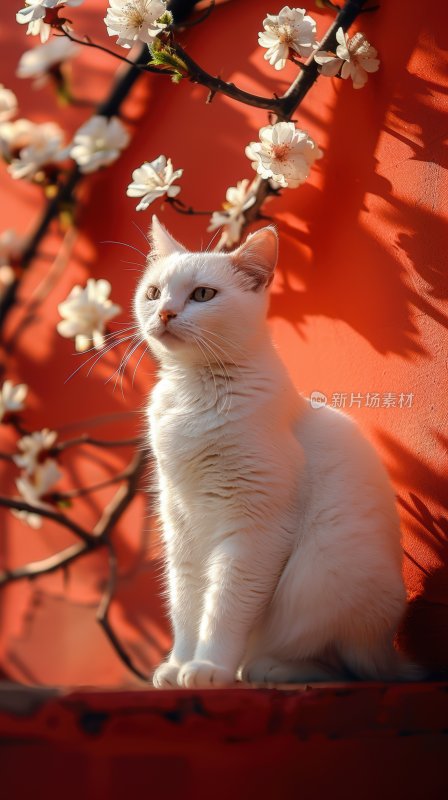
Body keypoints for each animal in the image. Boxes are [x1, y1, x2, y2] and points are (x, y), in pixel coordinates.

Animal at [134, 217, 412, 688]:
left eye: (203, 295)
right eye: (153, 293)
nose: (165, 312)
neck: (196, 393)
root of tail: (388, 649)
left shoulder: (255, 527)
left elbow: (224, 606)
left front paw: (208, 667)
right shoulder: (181, 523)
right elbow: (186, 605)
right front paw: (179, 662)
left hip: (319, 574)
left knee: (340, 664)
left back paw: (266, 668)